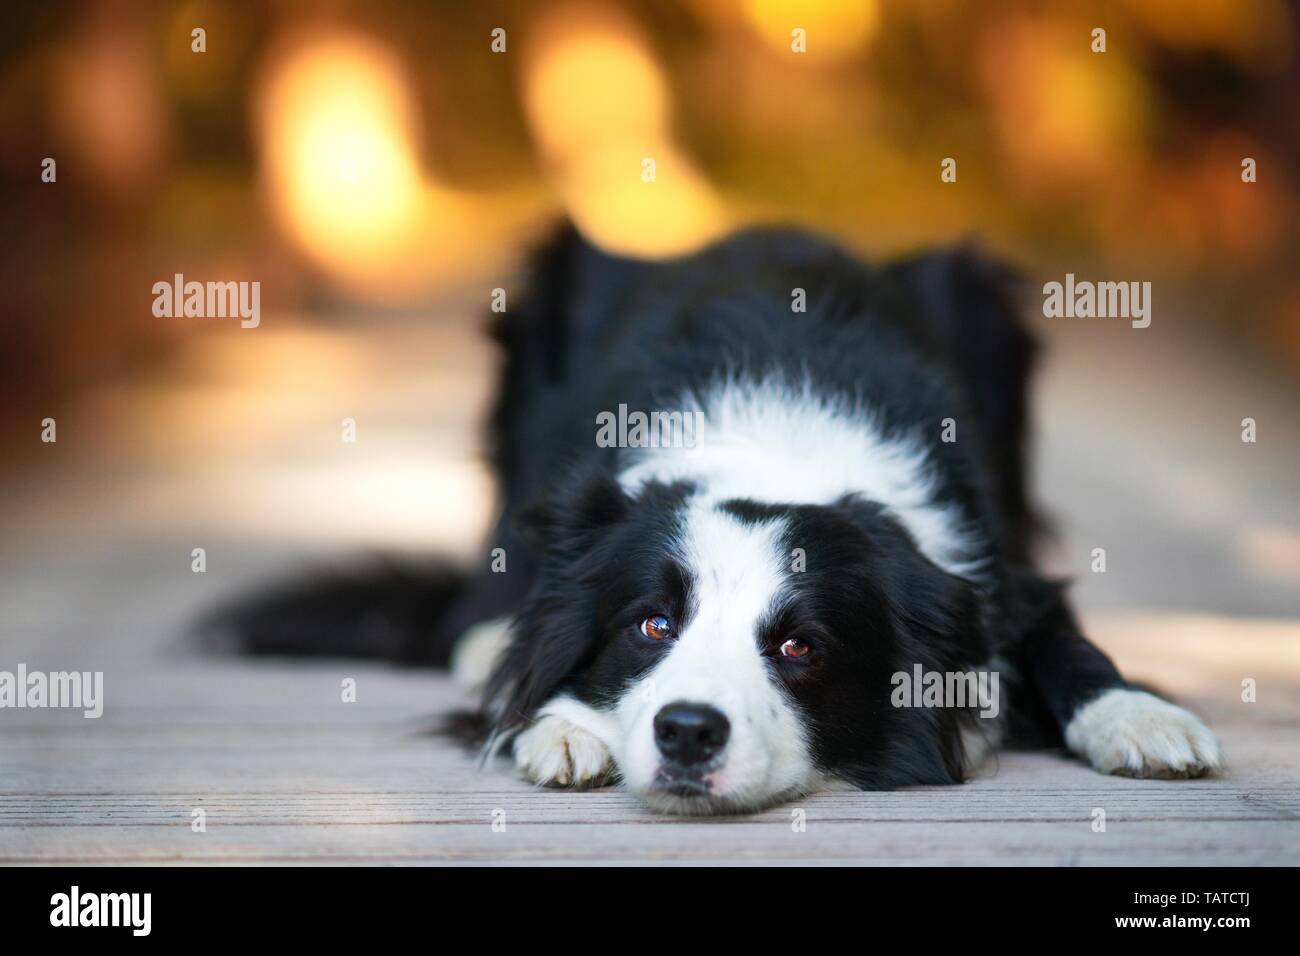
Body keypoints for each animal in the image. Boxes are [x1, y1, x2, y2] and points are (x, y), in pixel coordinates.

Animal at [218, 223, 1222, 816]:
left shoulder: (990, 567)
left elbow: (1062, 636)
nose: (688, 732)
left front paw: (1139, 715)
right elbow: (533, 663)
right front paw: (562, 726)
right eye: (653, 625)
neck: (776, 455)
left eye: (801, 647)